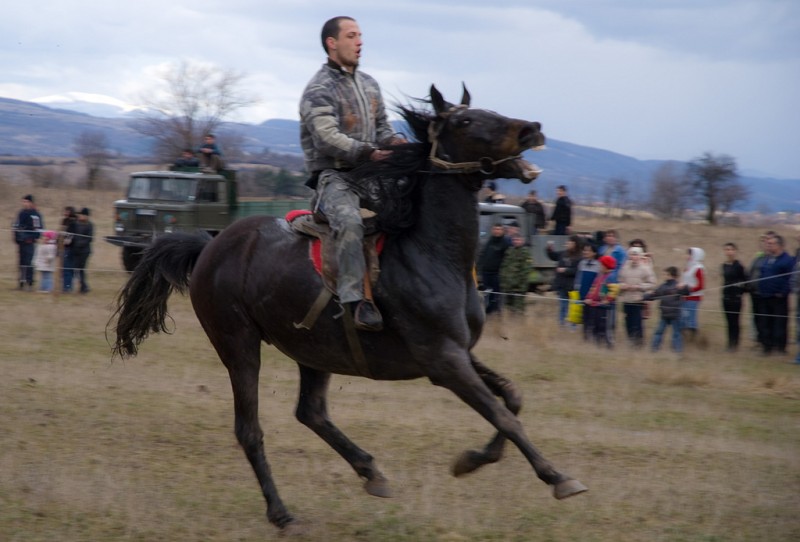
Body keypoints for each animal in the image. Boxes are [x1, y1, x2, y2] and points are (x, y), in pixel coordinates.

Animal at [111, 87, 588, 532]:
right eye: (467, 120)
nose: (532, 130)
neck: (433, 254)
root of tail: (210, 245)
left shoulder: (460, 352)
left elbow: (512, 398)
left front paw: (472, 459)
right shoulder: (444, 361)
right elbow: (503, 415)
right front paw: (558, 477)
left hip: (312, 351)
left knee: (311, 412)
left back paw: (370, 471)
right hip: (239, 346)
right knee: (250, 430)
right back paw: (282, 513)